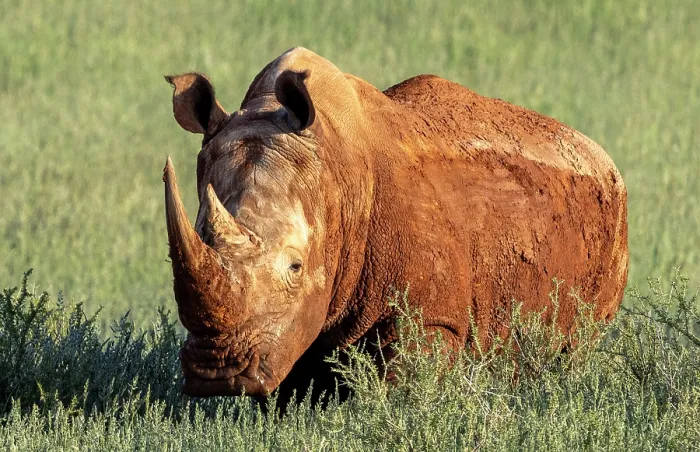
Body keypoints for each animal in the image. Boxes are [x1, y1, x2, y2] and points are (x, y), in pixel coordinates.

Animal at [163, 47, 628, 402]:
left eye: (295, 266)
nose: (216, 372)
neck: (338, 175)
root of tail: (601, 155)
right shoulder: (289, 327)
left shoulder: (432, 316)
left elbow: (401, 389)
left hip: (613, 223)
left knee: (578, 348)